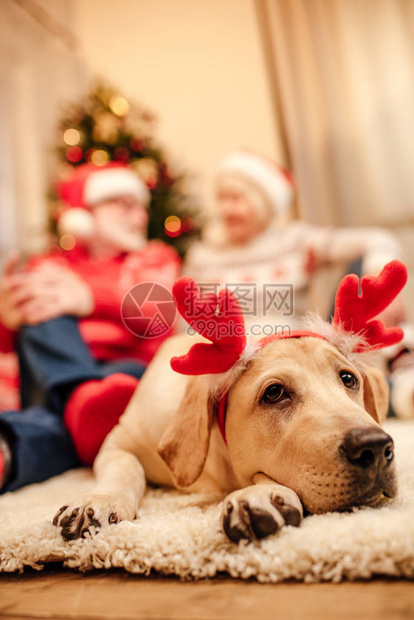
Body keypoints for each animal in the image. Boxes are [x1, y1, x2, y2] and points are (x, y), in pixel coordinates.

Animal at [53, 262, 406, 544]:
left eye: (348, 379)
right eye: (274, 393)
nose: (375, 447)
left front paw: (262, 495)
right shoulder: (121, 440)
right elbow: (125, 468)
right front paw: (100, 499)